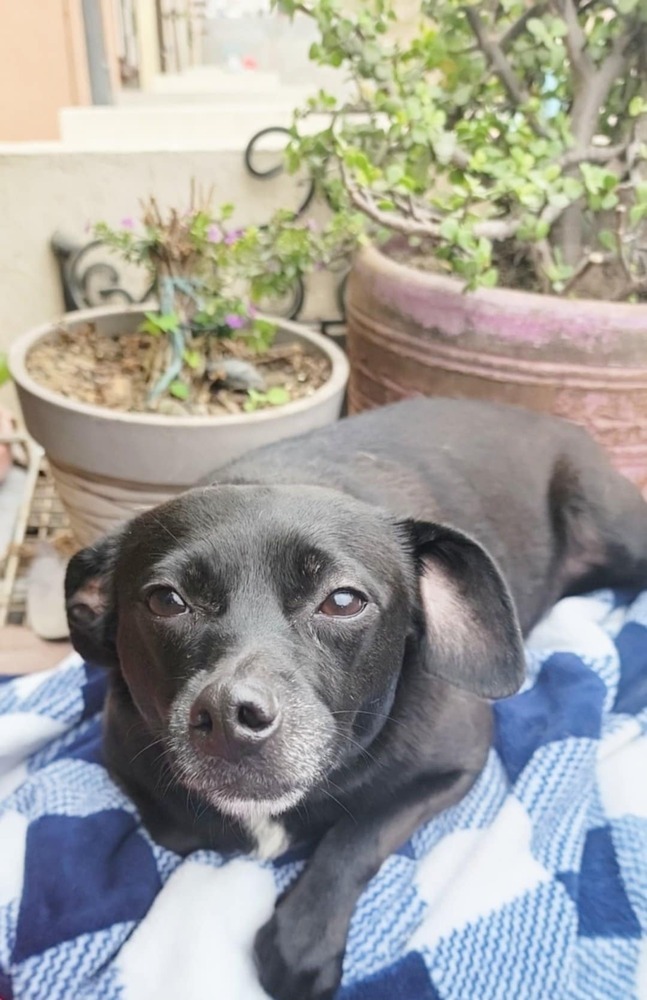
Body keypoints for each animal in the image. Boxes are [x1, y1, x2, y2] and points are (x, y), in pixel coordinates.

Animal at [63, 398, 647, 1000]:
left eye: (343, 601)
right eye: (166, 601)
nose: (230, 716)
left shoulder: (456, 763)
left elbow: (358, 833)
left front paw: (302, 939)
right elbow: (180, 826)